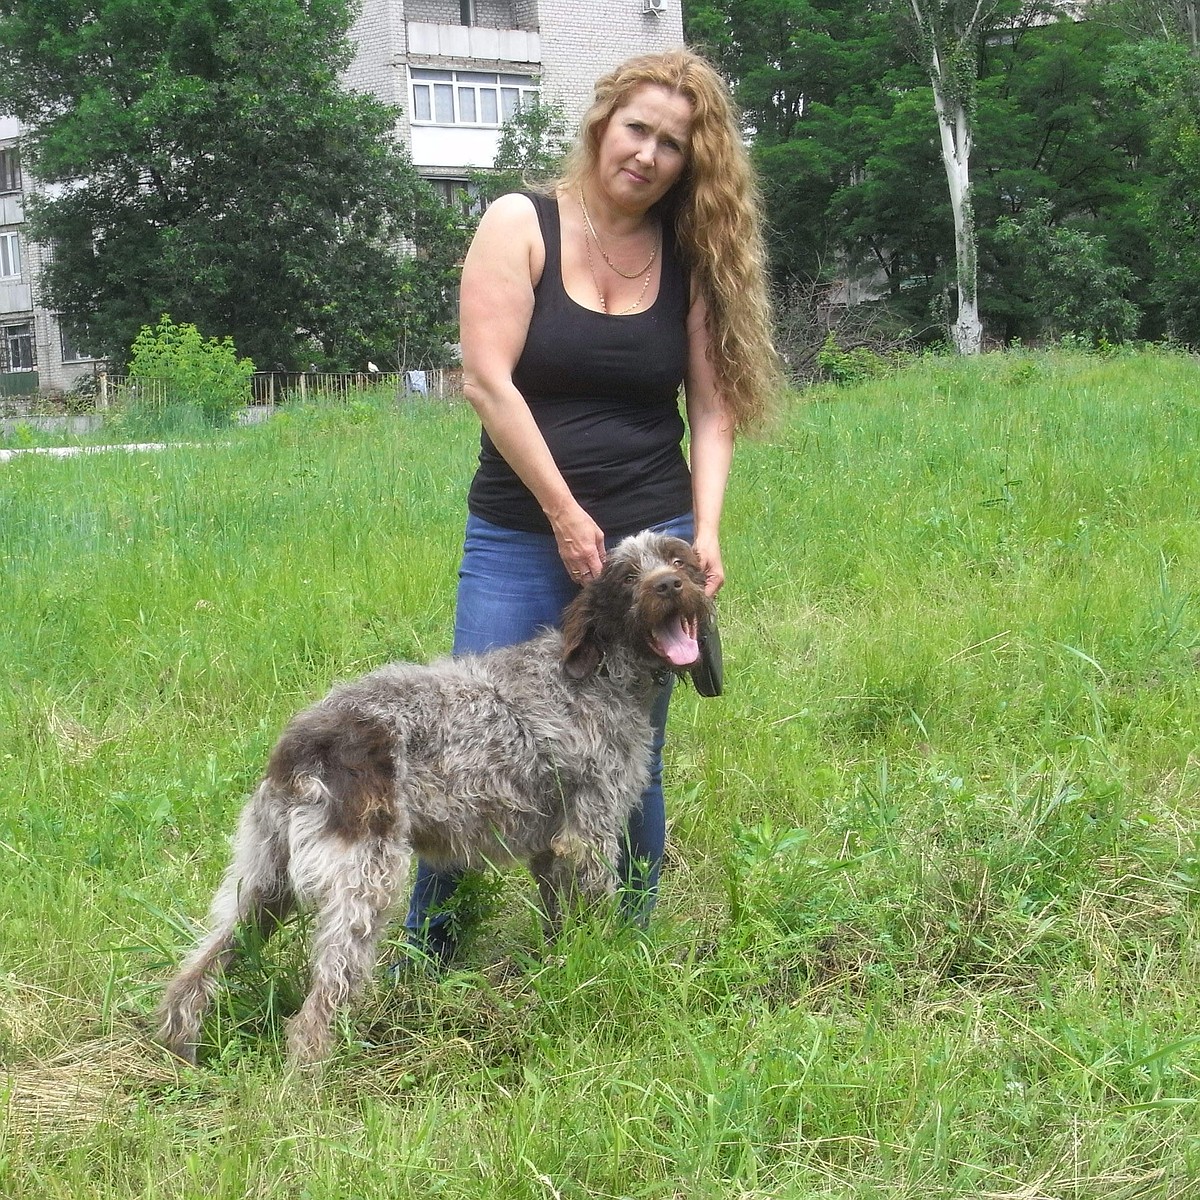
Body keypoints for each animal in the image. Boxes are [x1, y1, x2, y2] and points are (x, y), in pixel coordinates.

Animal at [153, 530, 705, 1065]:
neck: (603, 672)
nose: (669, 585)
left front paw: (563, 965)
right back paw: (307, 1081)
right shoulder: (590, 833)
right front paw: (606, 964)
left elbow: (558, 921)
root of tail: (307, 743)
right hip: (363, 886)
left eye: (679, 561)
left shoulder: (550, 850)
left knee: (197, 971)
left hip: (264, 880)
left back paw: (179, 1053)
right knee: (315, 1012)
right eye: (628, 575)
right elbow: (597, 912)